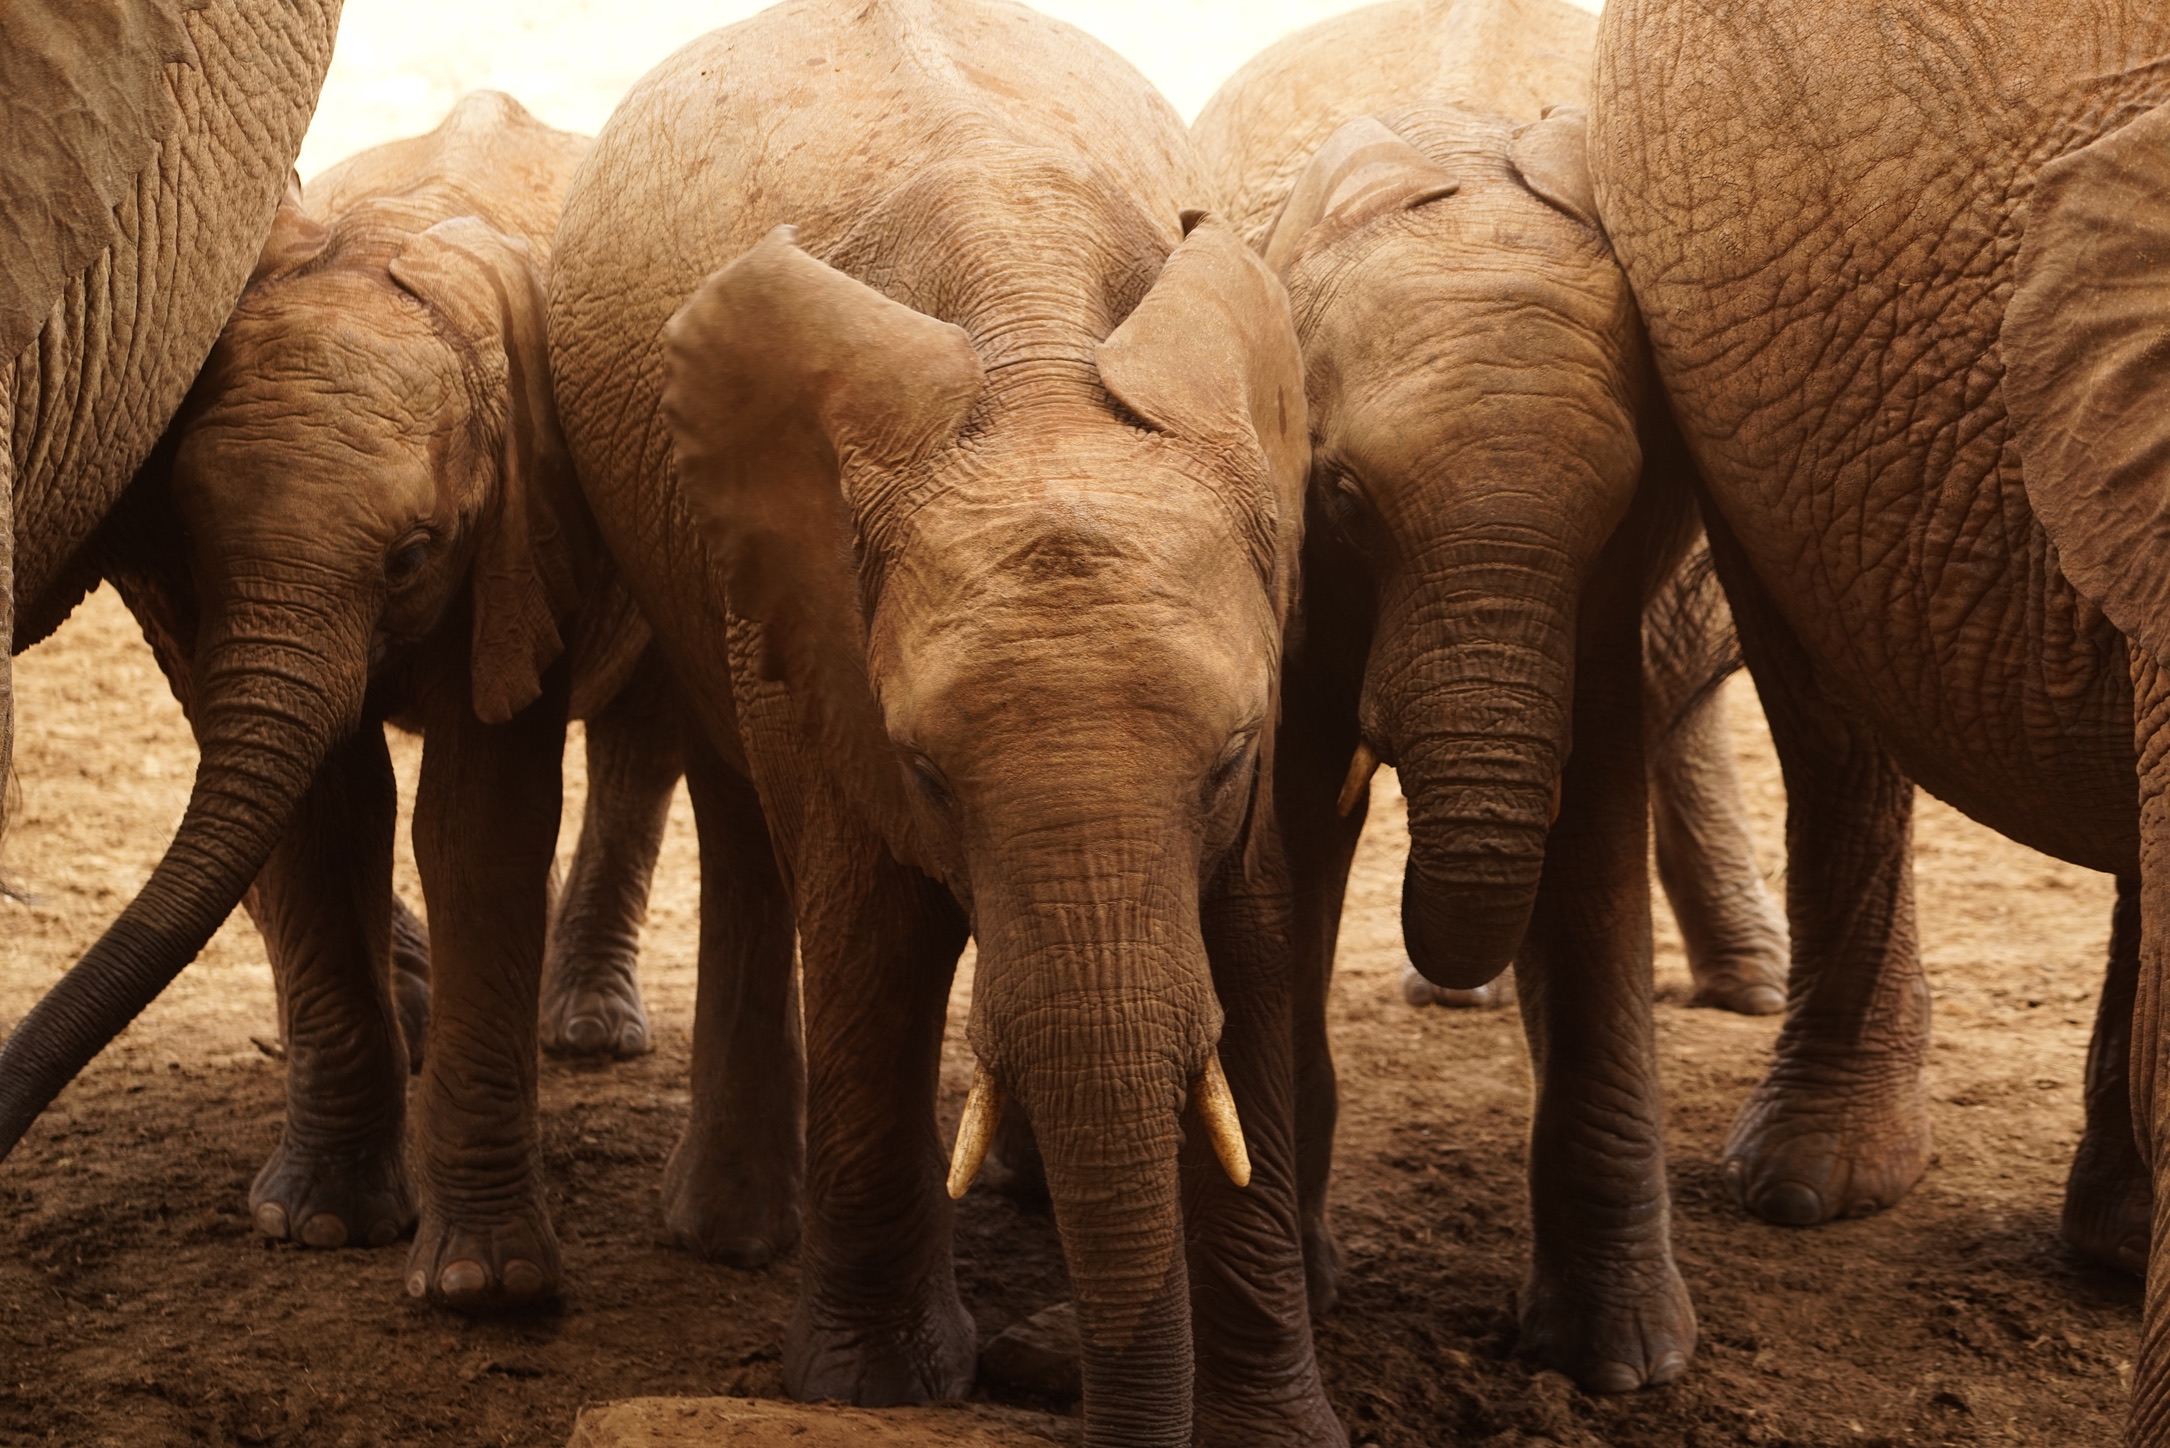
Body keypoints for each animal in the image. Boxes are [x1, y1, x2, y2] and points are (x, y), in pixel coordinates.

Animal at [0, 91, 680, 1292]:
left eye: (412, 555)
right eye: (190, 540)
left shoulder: (526, 530)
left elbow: (475, 823)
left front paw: (484, 1287)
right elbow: (322, 813)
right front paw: (316, 1227)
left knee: (642, 741)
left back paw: (591, 1035)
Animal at [549, 2, 1337, 1443]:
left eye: (1233, 756)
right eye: (924, 769)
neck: (1033, 362)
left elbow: (1249, 947)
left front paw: (1279, 1429)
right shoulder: (810, 603)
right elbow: (872, 934)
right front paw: (876, 1389)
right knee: (754, 829)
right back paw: (739, 1234)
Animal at [1188, 0, 1780, 1393]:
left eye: (1621, 503)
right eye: (1344, 496)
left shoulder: (1612, 591)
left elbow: (1596, 830)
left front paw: (1621, 1364)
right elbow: (1291, 828)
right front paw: (1308, 1290)